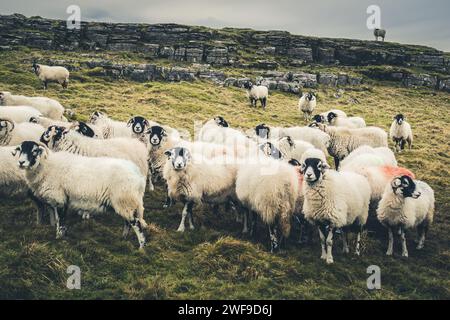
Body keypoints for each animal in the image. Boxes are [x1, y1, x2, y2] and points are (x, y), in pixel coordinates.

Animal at [13, 141, 147, 249]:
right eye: (20, 149)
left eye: (35, 151)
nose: (21, 162)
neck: (46, 166)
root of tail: (137, 173)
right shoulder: (60, 201)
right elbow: (59, 220)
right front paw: (62, 235)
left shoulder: (60, 199)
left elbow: (60, 221)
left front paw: (59, 239)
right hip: (125, 202)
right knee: (127, 222)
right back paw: (123, 238)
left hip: (125, 199)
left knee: (136, 223)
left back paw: (141, 246)